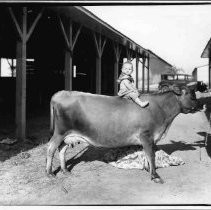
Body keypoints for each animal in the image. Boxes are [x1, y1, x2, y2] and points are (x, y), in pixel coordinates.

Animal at [45, 83, 199, 183]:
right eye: (192, 96)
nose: (200, 105)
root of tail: (61, 93)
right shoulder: (146, 135)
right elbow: (151, 155)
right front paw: (155, 176)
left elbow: (147, 155)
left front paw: (147, 169)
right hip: (60, 133)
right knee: (51, 149)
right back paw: (49, 173)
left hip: (67, 135)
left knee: (62, 150)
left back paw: (65, 170)